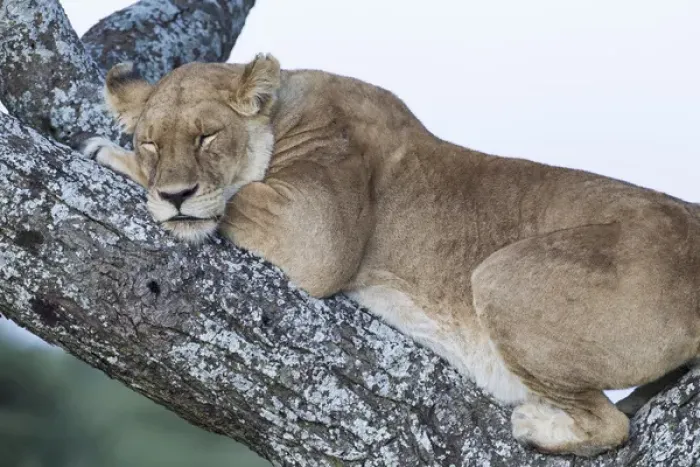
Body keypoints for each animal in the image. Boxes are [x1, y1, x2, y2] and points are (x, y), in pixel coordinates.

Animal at [82, 53, 700, 456]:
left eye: (207, 136)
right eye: (152, 141)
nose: (176, 194)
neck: (286, 109)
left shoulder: (316, 231)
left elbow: (235, 195)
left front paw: (109, 156)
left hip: (500, 275)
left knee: (610, 426)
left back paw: (536, 426)